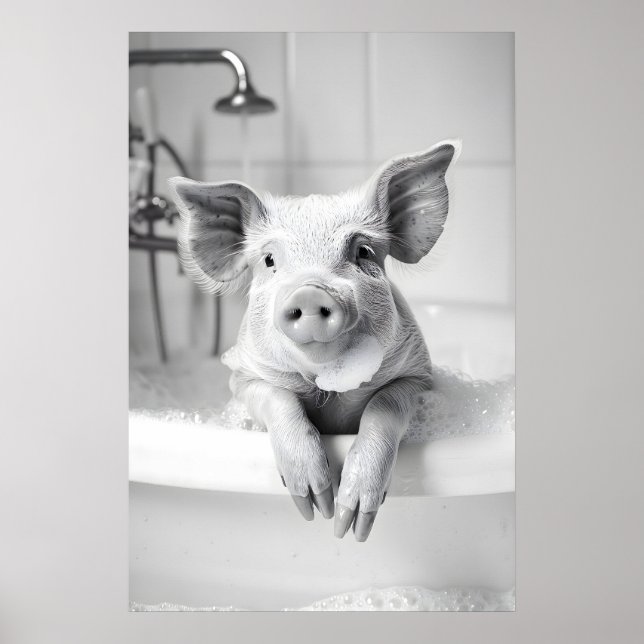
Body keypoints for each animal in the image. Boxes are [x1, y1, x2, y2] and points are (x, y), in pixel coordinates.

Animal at [168, 139, 460, 542]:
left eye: (363, 252)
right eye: (269, 260)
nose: (310, 291)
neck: (328, 388)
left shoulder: (419, 375)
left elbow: (385, 403)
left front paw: (347, 523)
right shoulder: (243, 376)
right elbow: (278, 397)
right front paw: (316, 505)